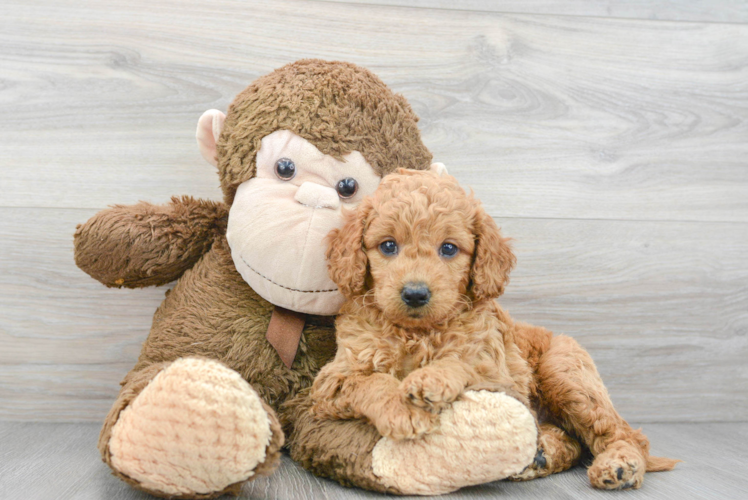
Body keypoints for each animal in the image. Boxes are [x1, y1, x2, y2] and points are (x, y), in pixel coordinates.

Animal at [310, 170, 532, 440]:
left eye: (449, 248)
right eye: (388, 245)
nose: (415, 294)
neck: (416, 334)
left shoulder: (502, 379)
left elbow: (461, 363)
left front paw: (431, 379)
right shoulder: (334, 378)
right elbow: (372, 381)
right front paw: (402, 408)